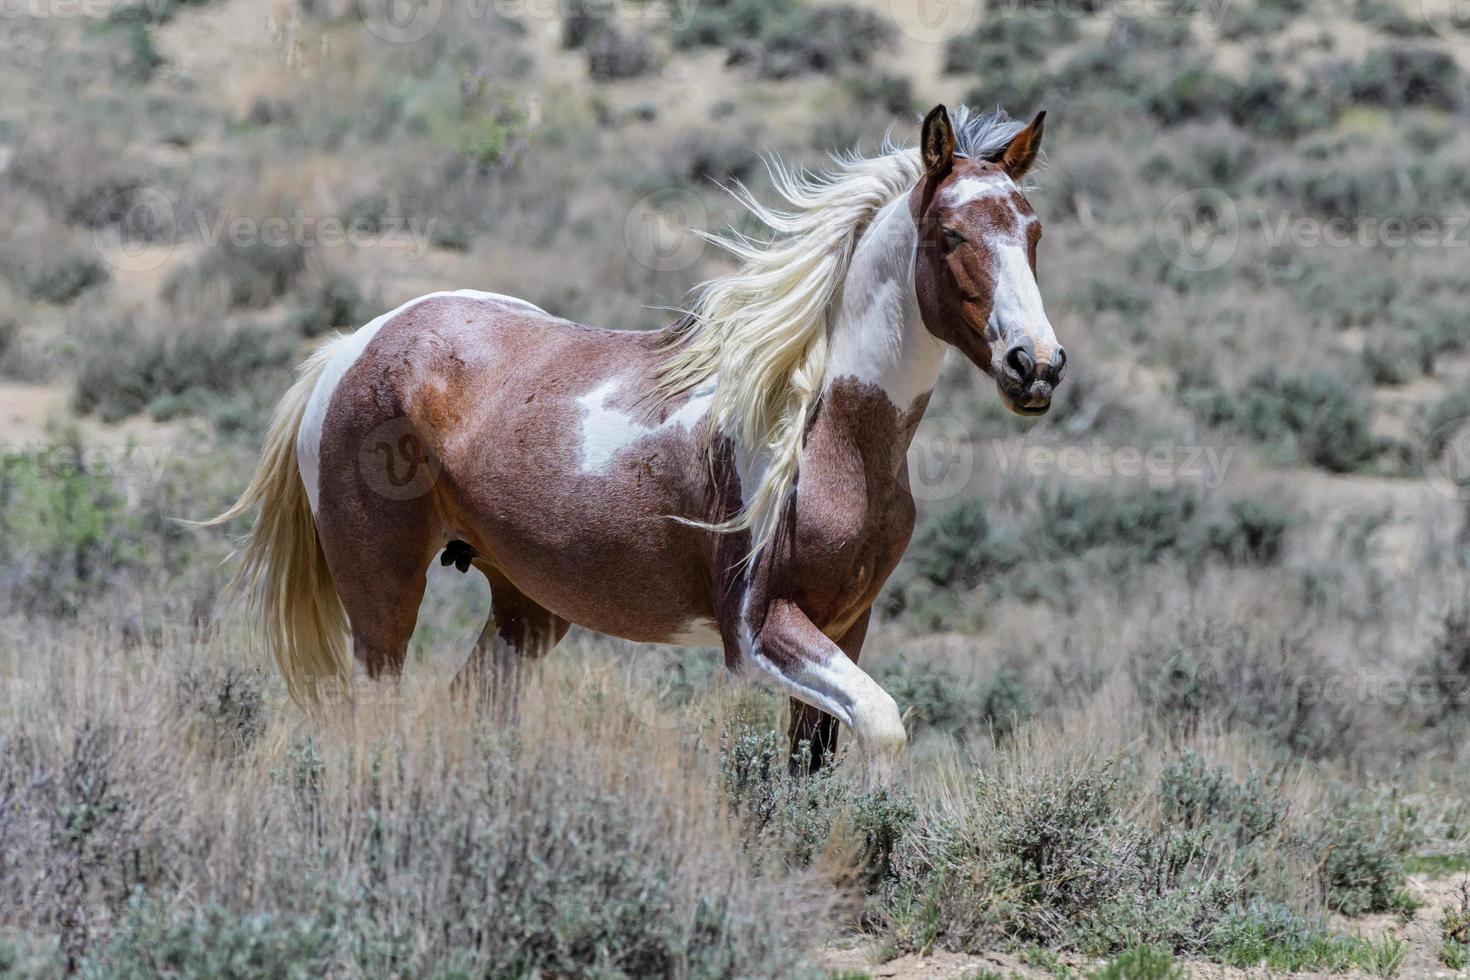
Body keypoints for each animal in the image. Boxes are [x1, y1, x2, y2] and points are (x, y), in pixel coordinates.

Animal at [210, 103, 1070, 787]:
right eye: (951, 234)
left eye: (1033, 231)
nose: (1036, 366)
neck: (823, 428)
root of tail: (352, 348)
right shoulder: (759, 630)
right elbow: (884, 728)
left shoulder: (846, 622)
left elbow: (814, 764)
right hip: (382, 599)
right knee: (373, 719)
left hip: (524, 610)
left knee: (468, 706)